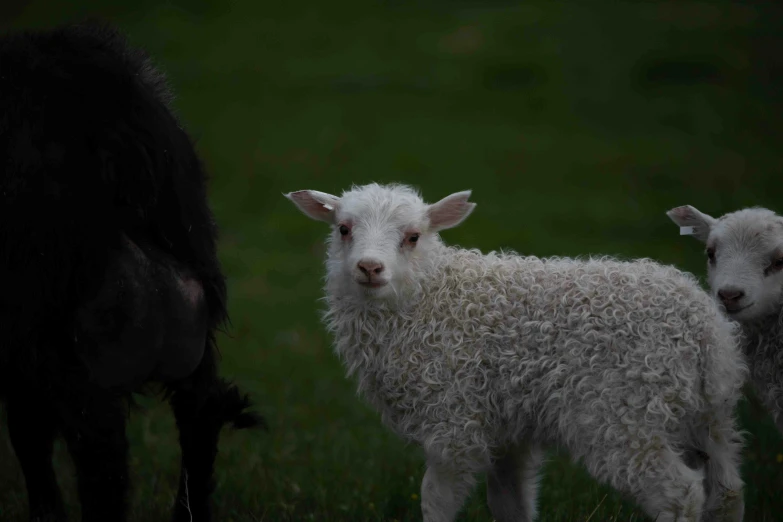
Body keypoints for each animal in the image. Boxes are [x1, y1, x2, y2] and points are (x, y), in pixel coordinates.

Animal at [286, 183, 748, 520]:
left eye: (413, 237)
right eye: (343, 229)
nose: (369, 268)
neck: (430, 299)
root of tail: (705, 331)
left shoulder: (453, 419)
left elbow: (435, 501)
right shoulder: (507, 431)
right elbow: (511, 504)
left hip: (625, 413)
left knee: (679, 493)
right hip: (709, 415)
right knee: (726, 492)